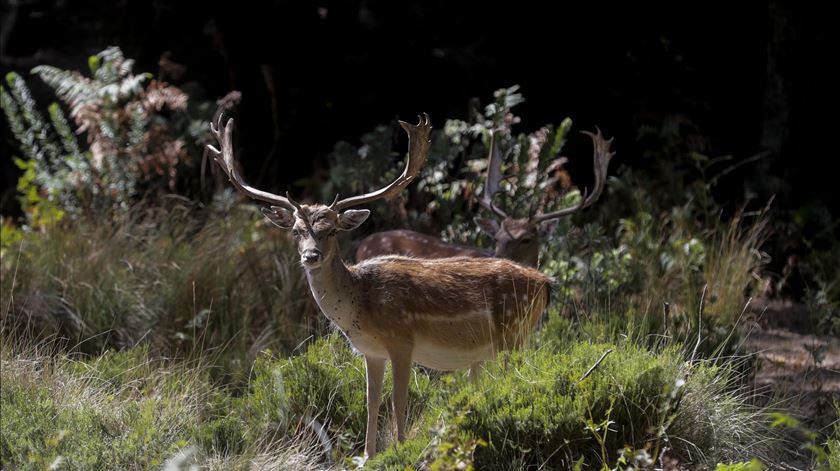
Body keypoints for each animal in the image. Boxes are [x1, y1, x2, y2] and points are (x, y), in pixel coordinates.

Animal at [208, 112, 552, 460]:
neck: (359, 304)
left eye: (332, 230)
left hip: (515, 332)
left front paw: (400, 449)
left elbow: (399, 401)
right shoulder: (370, 352)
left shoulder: (402, 340)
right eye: (295, 230)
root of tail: (546, 282)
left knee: (521, 373)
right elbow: (371, 402)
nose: (311, 256)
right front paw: (369, 454)